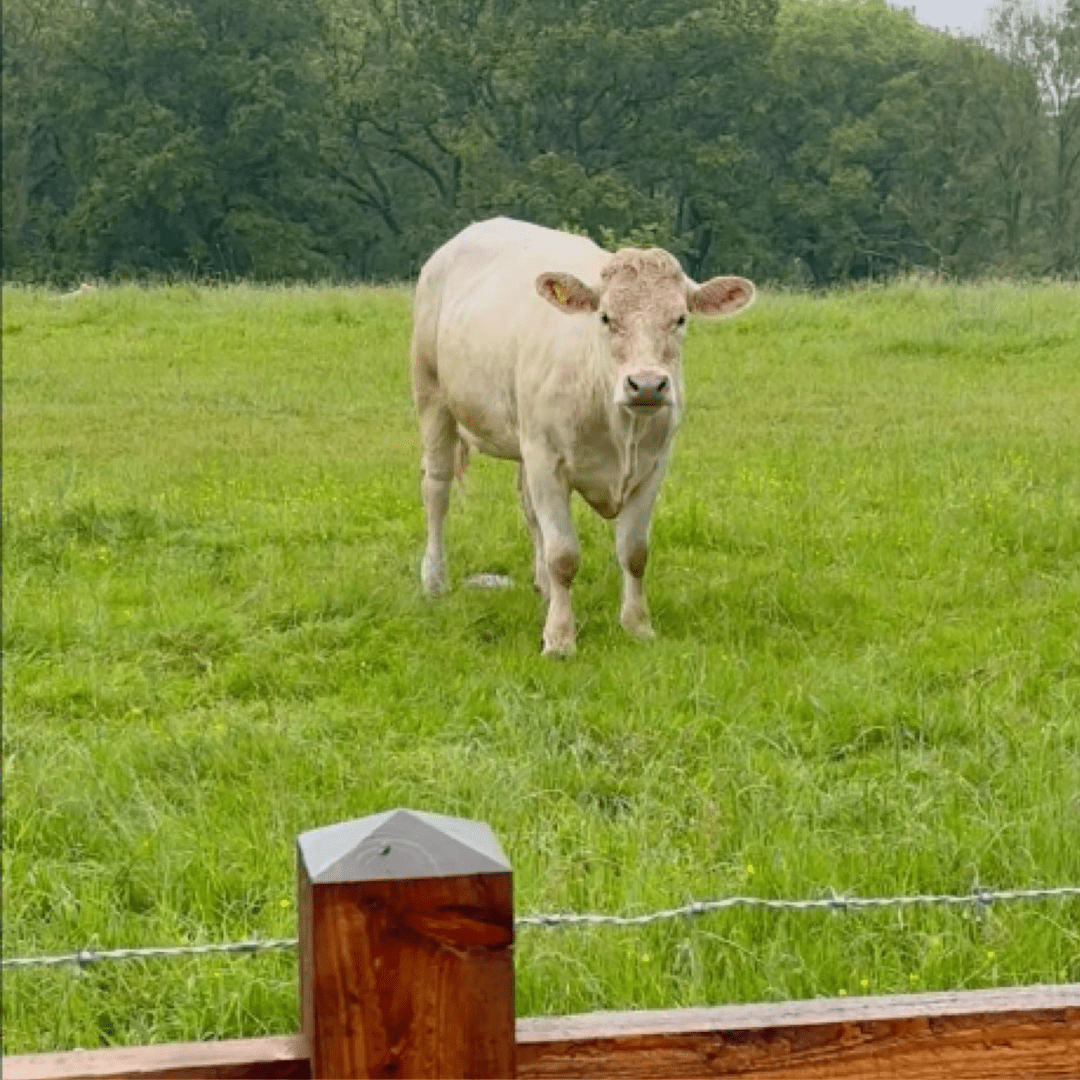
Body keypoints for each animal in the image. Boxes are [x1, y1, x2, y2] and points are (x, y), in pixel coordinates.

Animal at [408, 218, 756, 652]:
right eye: (605, 317)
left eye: (680, 319)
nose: (646, 385)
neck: (620, 427)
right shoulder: (546, 459)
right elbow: (564, 555)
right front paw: (559, 638)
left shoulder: (653, 465)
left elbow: (634, 551)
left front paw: (637, 625)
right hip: (431, 394)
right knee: (436, 488)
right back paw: (435, 581)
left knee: (527, 506)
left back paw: (541, 586)